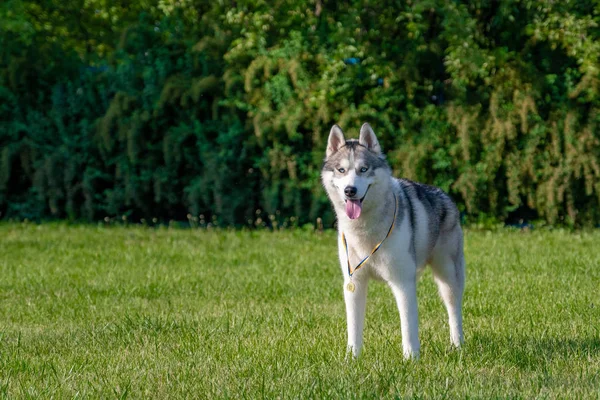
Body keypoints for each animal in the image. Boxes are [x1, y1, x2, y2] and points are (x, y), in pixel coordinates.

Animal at [322, 122, 466, 360]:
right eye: (341, 170)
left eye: (363, 169)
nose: (350, 190)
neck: (365, 231)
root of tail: (443, 194)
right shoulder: (354, 283)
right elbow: (354, 328)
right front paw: (352, 359)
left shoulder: (403, 282)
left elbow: (408, 326)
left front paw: (411, 359)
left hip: (449, 277)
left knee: (454, 311)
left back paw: (457, 345)